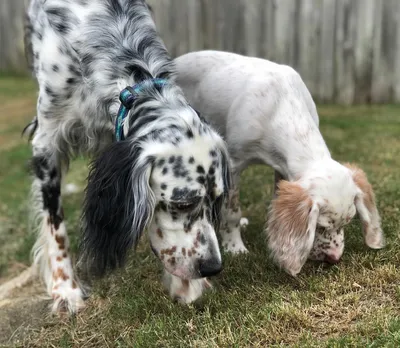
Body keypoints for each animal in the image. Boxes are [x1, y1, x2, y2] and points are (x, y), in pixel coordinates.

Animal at [16, 0, 231, 316]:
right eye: (182, 203)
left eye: (216, 199)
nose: (212, 267)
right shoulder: (47, 143)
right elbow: (55, 225)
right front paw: (65, 288)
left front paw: (187, 285)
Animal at [176, 50, 384, 276]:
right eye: (320, 226)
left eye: (347, 222)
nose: (334, 258)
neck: (282, 106)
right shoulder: (233, 163)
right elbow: (232, 211)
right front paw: (235, 247)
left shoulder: (282, 169)